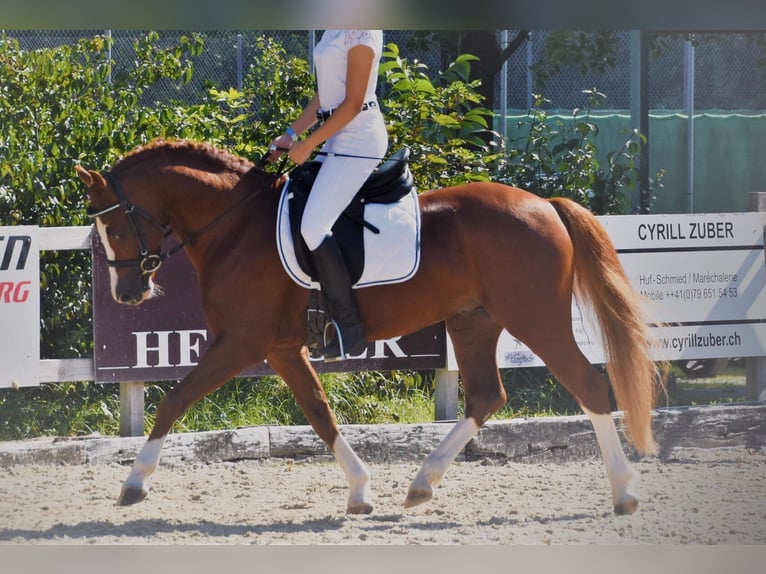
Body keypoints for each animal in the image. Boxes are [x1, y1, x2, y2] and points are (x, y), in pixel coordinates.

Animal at [76, 138, 660, 516]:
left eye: (113, 227)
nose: (127, 295)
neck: (235, 226)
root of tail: (544, 205)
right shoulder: (283, 349)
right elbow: (319, 413)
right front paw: (359, 490)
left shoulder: (239, 343)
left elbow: (175, 400)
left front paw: (134, 482)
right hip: (474, 322)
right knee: (486, 397)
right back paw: (421, 485)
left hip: (535, 317)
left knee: (588, 385)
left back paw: (625, 492)